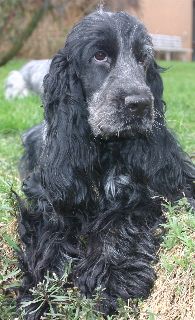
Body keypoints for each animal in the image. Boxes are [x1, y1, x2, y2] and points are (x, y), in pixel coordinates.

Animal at [17, 9, 193, 318]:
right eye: (99, 55)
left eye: (142, 58)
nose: (140, 104)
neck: (106, 148)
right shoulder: (48, 191)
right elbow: (51, 226)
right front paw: (42, 292)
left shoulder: (163, 191)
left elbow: (123, 217)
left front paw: (109, 278)